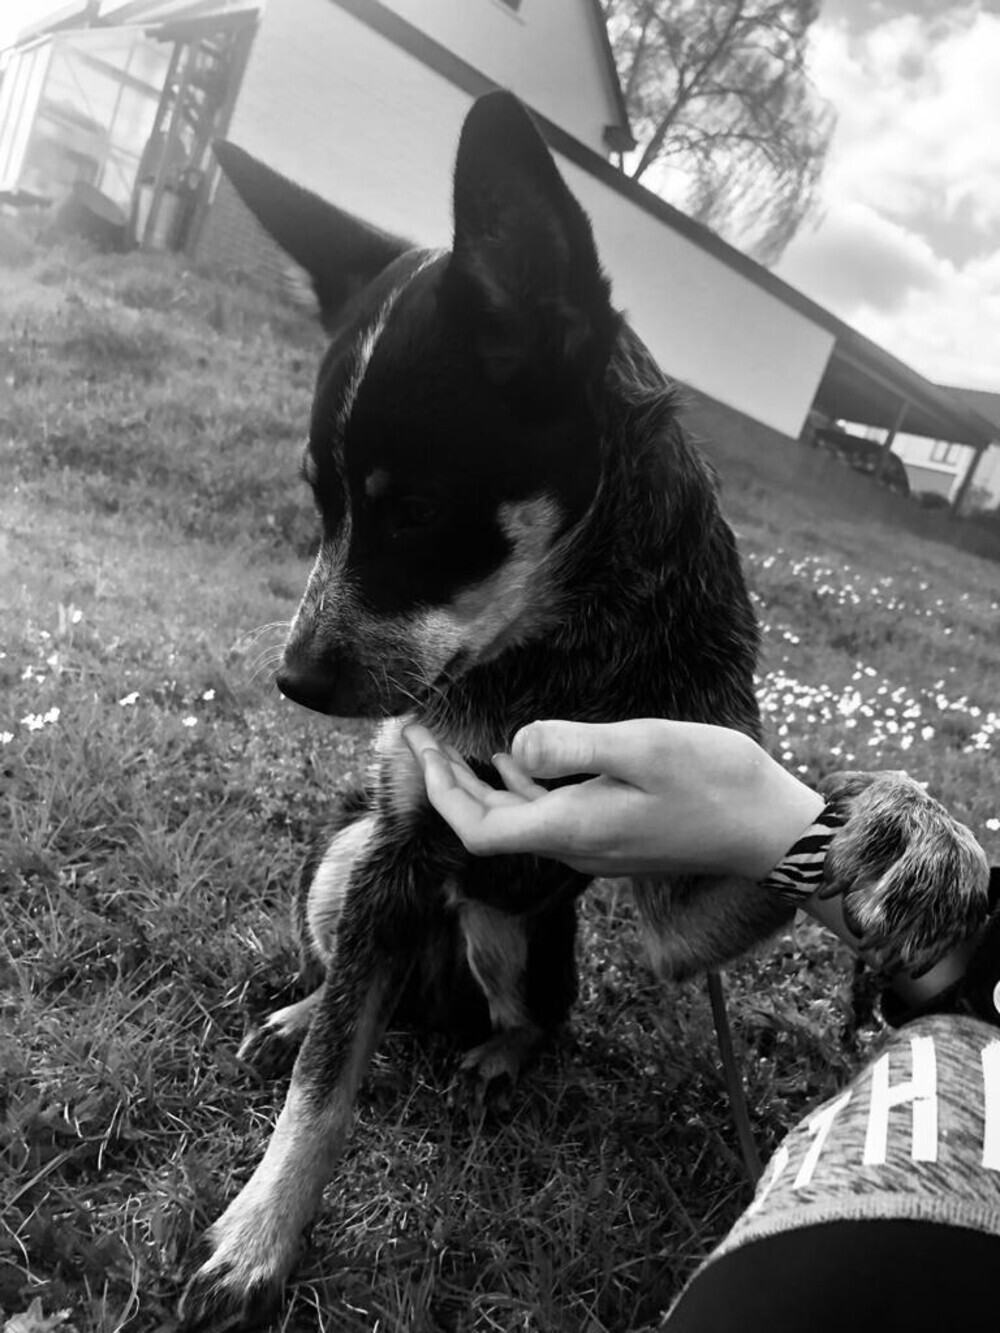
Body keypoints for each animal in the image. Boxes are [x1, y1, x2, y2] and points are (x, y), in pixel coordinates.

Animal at [178, 93, 991, 1329]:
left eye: (415, 513)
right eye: (318, 504)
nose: (296, 678)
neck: (548, 655)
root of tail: (432, 1008)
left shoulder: (679, 909)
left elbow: (798, 822)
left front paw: (910, 824)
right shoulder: (395, 841)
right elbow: (323, 1090)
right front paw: (261, 1230)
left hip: (516, 937)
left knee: (529, 1016)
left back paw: (497, 1056)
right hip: (347, 862)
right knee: (350, 992)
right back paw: (302, 1015)